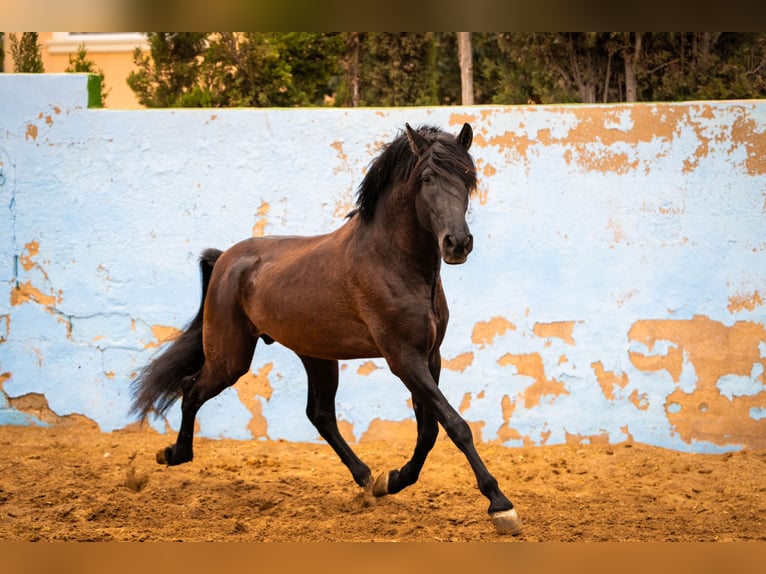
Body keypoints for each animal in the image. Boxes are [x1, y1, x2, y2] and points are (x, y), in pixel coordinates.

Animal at [132, 121, 524, 536]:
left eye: (467, 177)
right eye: (428, 177)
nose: (457, 244)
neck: (392, 263)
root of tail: (225, 259)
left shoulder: (429, 357)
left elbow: (429, 431)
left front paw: (392, 481)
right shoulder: (403, 359)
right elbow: (454, 424)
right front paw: (501, 506)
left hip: (316, 356)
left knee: (319, 415)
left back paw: (366, 479)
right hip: (231, 358)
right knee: (191, 388)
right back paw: (172, 454)